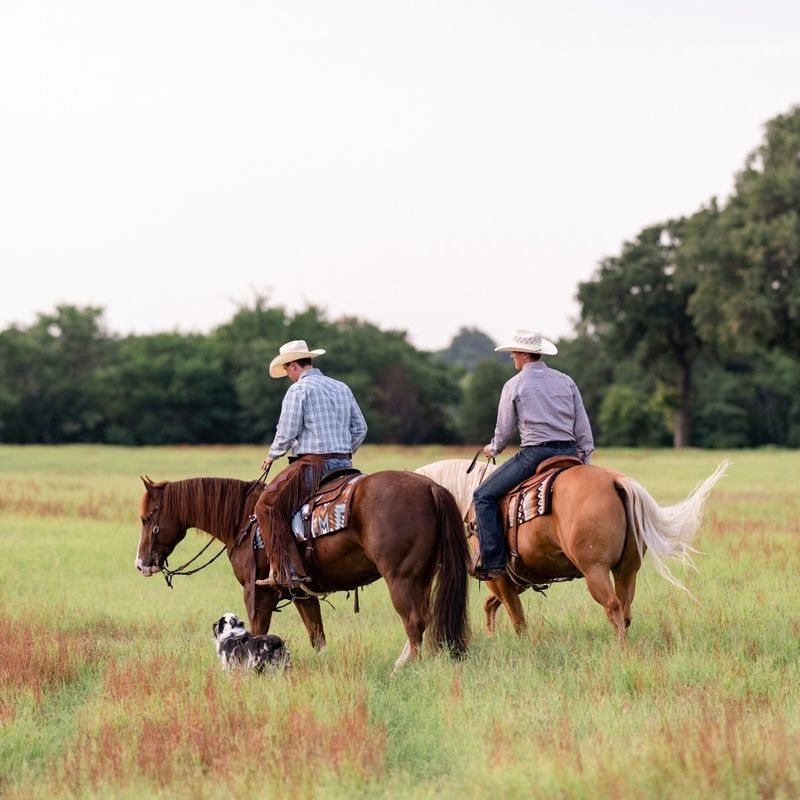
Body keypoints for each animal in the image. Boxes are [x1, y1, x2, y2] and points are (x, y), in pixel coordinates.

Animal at [131, 468, 468, 668]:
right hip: (422, 577)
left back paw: (405, 668)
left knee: (414, 623)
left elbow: (256, 633)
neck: (242, 519)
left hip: (401, 578)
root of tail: (429, 488)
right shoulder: (302, 594)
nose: (141, 563)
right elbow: (317, 635)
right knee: (426, 620)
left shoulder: (258, 594)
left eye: (147, 519)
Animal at [416, 460, 728, 640]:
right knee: (625, 608)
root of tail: (615, 480)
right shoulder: (512, 581)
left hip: (595, 571)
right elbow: (493, 606)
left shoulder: (499, 577)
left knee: (613, 607)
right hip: (627, 570)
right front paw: (493, 637)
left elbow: (517, 619)